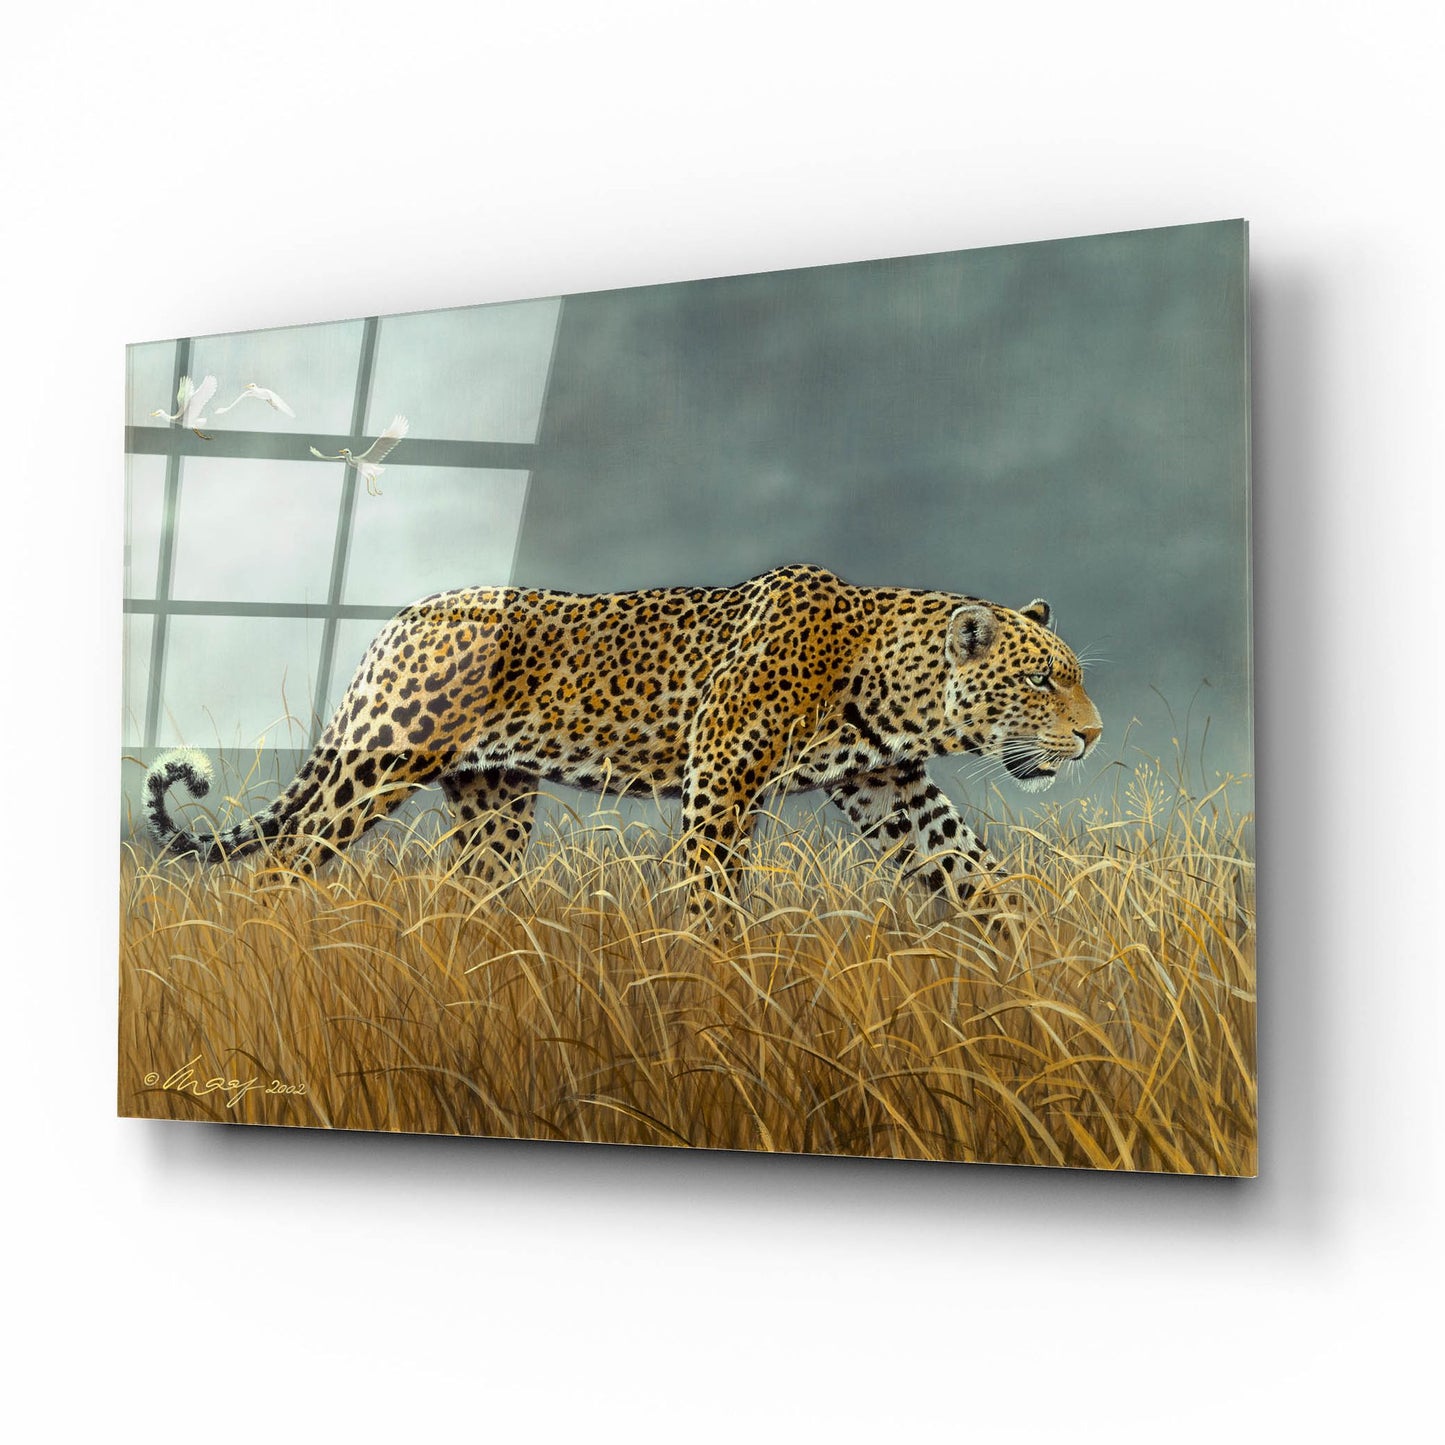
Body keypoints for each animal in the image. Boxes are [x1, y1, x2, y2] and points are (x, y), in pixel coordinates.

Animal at [145, 563, 1102, 926]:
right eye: (1039, 680)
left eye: (1072, 674)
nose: (1093, 736)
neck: (887, 684)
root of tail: (402, 619)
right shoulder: (720, 783)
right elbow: (712, 898)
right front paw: (724, 989)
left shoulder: (892, 788)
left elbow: (975, 871)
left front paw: (1033, 967)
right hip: (379, 760)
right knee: (283, 862)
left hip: (495, 798)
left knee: (473, 890)